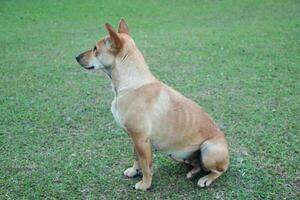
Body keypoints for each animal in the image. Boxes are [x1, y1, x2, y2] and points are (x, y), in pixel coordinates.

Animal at [75, 18, 230, 191]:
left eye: (95, 48)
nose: (76, 57)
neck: (131, 82)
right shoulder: (134, 139)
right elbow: (136, 158)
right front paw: (134, 171)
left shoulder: (141, 140)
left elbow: (146, 166)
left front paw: (145, 183)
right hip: (177, 154)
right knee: (198, 166)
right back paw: (192, 173)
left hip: (209, 150)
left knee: (219, 170)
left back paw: (206, 179)